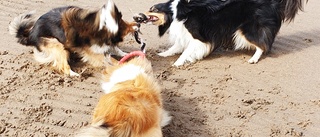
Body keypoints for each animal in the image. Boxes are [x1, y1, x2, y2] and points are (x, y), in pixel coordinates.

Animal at [8, 0, 141, 76]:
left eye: (124, 21)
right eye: (123, 25)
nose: (138, 23)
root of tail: (30, 33)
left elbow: (115, 49)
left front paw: (125, 54)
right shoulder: (91, 51)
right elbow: (110, 58)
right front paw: (122, 64)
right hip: (56, 44)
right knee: (62, 66)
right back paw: (75, 74)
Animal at [134, 0, 306, 66]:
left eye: (152, 9)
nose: (137, 16)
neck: (175, 13)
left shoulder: (198, 37)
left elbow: (186, 51)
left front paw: (177, 63)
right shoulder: (185, 34)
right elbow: (176, 47)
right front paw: (163, 54)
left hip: (247, 29)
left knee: (262, 45)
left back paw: (254, 59)